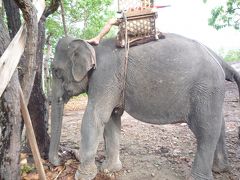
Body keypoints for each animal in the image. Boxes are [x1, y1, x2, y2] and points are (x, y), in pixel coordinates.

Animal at [48, 33, 240, 179]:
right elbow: (112, 119)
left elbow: (95, 117)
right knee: (219, 124)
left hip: (205, 89)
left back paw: (199, 177)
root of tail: (218, 59)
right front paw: (109, 169)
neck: (91, 45)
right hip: (210, 92)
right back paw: (220, 169)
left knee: (206, 129)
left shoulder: (105, 76)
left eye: (56, 71)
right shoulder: (114, 83)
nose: (61, 160)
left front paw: (83, 176)